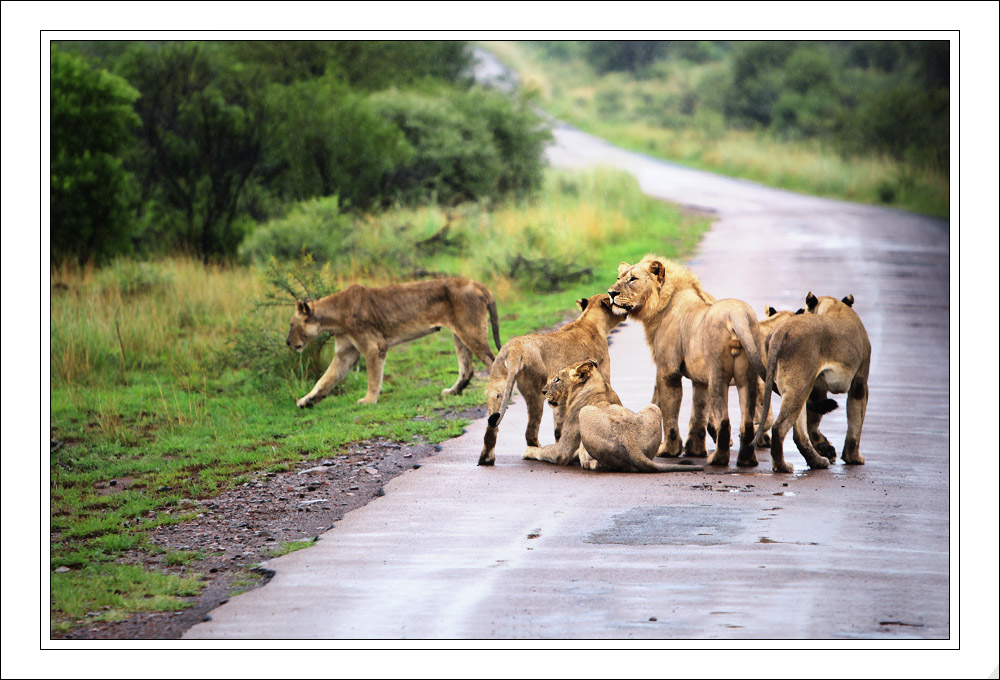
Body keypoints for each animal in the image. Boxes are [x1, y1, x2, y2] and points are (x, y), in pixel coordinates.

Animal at [286, 274, 500, 404]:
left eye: (291, 324)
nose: (287, 343)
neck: (334, 318)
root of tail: (478, 284)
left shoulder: (374, 346)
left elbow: (373, 377)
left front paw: (368, 400)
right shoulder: (345, 354)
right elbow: (325, 379)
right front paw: (306, 401)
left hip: (470, 331)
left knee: (492, 361)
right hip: (459, 334)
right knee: (467, 369)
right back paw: (452, 392)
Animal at [478, 294, 624, 464]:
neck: (589, 321)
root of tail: (515, 348)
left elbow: (558, 427)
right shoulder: (603, 375)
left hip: (497, 386)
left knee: (491, 424)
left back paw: (486, 459)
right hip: (535, 390)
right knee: (530, 430)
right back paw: (535, 450)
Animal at [524, 362, 704, 472]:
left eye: (557, 379)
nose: (543, 391)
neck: (597, 386)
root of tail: (631, 443)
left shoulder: (563, 449)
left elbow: (545, 451)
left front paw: (528, 451)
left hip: (585, 412)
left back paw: (588, 462)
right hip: (653, 407)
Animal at [608, 255, 764, 468]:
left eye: (633, 279)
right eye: (619, 277)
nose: (611, 293)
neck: (662, 305)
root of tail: (737, 315)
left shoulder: (668, 371)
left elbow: (669, 413)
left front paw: (669, 450)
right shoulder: (700, 379)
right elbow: (698, 413)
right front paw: (695, 450)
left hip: (718, 374)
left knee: (724, 420)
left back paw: (718, 459)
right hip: (746, 377)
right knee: (746, 421)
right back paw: (747, 460)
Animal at [752, 292, 872, 472]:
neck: (832, 304)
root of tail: (782, 330)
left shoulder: (816, 390)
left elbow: (813, 423)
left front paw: (825, 447)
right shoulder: (860, 382)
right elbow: (855, 423)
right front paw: (853, 458)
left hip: (801, 388)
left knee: (799, 433)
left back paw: (817, 461)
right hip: (799, 388)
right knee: (779, 427)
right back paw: (782, 466)